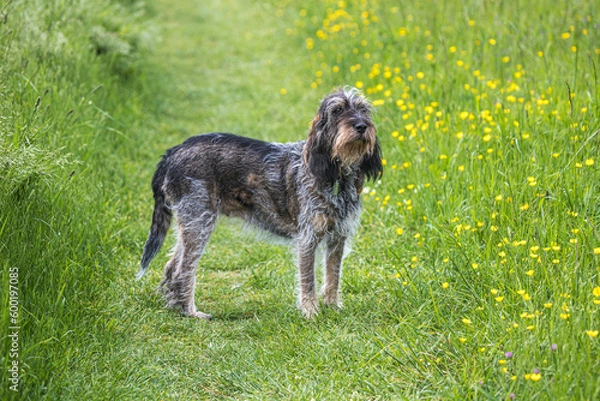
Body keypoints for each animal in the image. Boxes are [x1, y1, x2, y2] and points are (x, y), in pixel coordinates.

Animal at [138, 88, 382, 318]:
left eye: (363, 109)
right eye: (338, 110)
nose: (361, 126)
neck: (336, 176)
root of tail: (173, 152)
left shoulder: (338, 237)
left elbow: (333, 276)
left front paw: (332, 308)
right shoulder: (307, 239)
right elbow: (308, 280)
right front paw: (310, 312)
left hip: (191, 223)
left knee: (171, 267)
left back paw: (176, 307)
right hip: (199, 222)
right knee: (183, 271)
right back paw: (191, 312)